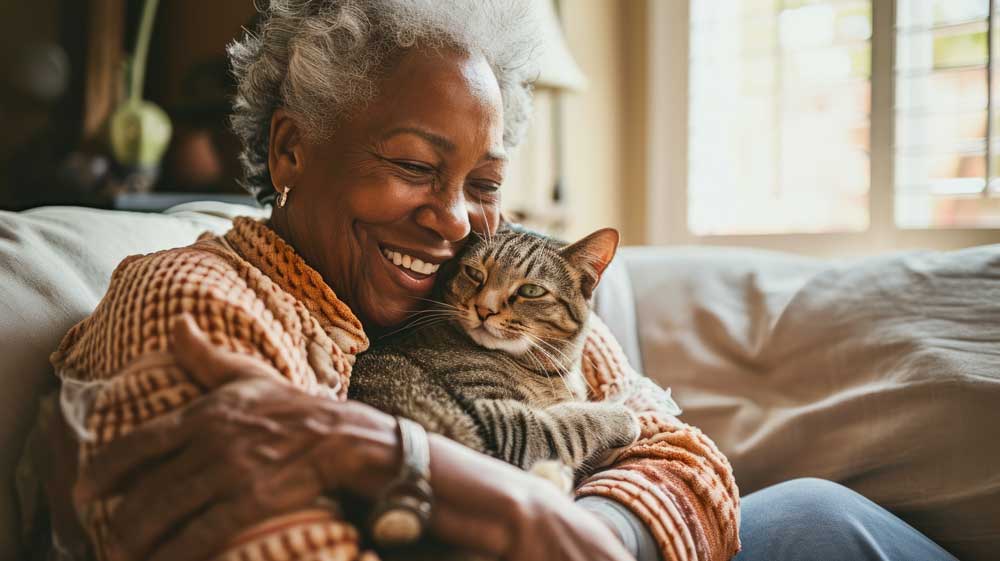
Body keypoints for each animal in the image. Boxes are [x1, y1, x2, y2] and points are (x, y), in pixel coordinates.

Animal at [348, 225, 636, 488]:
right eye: (474, 273)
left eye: (531, 291)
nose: (484, 309)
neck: (551, 370)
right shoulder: (499, 421)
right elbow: (571, 422)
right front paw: (622, 416)